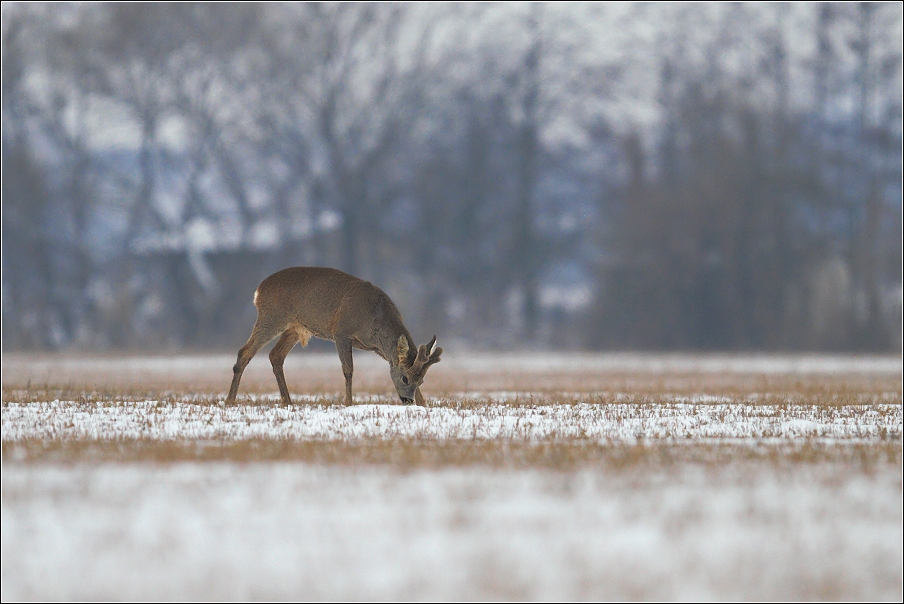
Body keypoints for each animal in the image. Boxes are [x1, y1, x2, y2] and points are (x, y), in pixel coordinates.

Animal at [222, 268, 442, 406]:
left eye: (421, 381)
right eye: (404, 378)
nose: (408, 400)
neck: (375, 316)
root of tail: (258, 291)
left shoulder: (377, 348)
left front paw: (424, 404)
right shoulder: (342, 332)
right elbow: (348, 370)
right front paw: (348, 402)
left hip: (294, 327)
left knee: (275, 355)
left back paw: (288, 401)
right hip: (272, 317)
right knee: (245, 351)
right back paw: (230, 400)